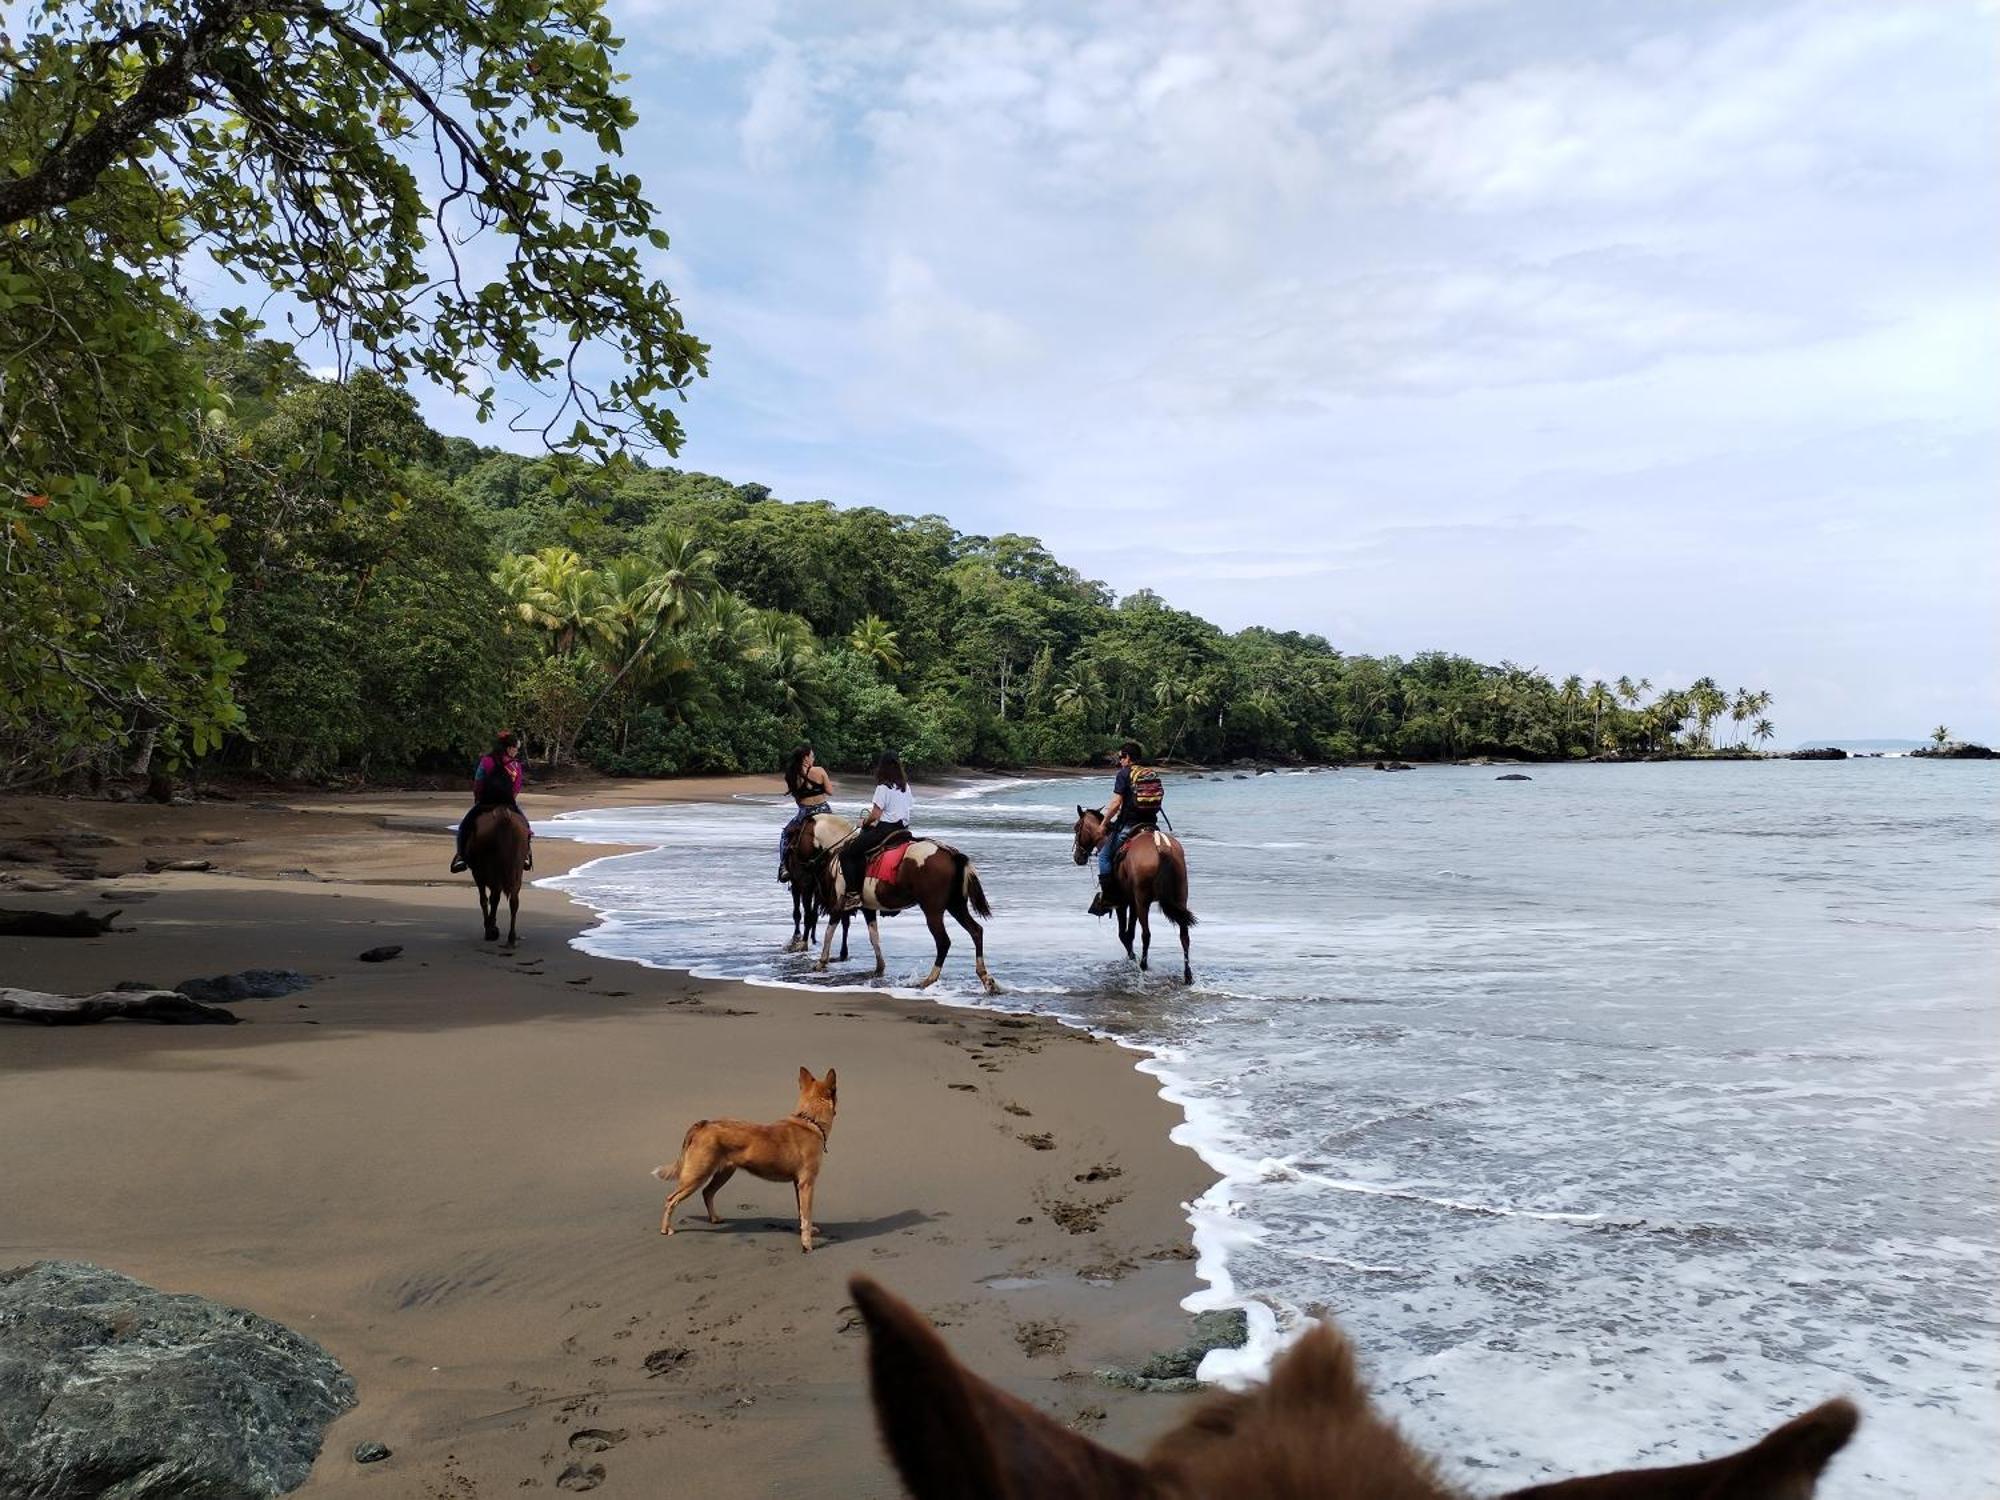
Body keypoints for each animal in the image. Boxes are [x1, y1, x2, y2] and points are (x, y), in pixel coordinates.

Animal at [466, 804, 532, 944]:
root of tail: (504, 817)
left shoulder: (478, 874)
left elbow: (484, 899)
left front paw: (490, 928)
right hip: (516, 869)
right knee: (513, 900)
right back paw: (511, 938)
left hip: (489, 870)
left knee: (494, 897)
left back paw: (491, 930)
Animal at [656, 1072, 836, 1256]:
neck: (810, 1122)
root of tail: (703, 1124)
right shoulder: (807, 1184)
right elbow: (806, 1216)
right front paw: (807, 1244)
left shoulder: (797, 1184)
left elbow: (802, 1212)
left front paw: (808, 1231)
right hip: (696, 1175)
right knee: (671, 1199)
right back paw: (665, 1229)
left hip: (724, 1173)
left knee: (707, 1192)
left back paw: (714, 1218)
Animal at [812, 836, 1000, 1000]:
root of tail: (951, 854)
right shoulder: (868, 909)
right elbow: (874, 937)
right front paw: (879, 967)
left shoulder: (839, 906)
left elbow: (829, 932)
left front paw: (821, 962)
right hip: (956, 906)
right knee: (976, 931)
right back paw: (986, 979)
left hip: (932, 910)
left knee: (943, 942)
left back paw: (930, 979)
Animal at [1072, 812, 1192, 988]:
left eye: (1076, 828)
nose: (1077, 857)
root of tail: (1161, 847)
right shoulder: (1133, 902)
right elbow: (1130, 933)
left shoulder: (1123, 903)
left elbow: (1124, 934)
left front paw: (1132, 958)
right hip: (1180, 897)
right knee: (1184, 936)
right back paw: (1188, 976)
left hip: (1143, 901)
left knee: (1146, 935)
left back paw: (1143, 966)